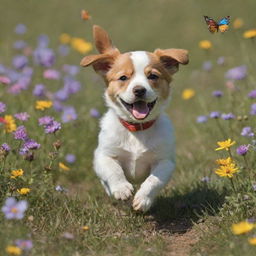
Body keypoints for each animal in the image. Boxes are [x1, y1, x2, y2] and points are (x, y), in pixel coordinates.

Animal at [81, 25, 189, 212]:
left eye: (152, 76)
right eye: (123, 78)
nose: (139, 90)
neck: (137, 130)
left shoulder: (165, 161)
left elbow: (154, 180)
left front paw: (144, 199)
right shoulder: (103, 155)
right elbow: (112, 170)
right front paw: (121, 188)